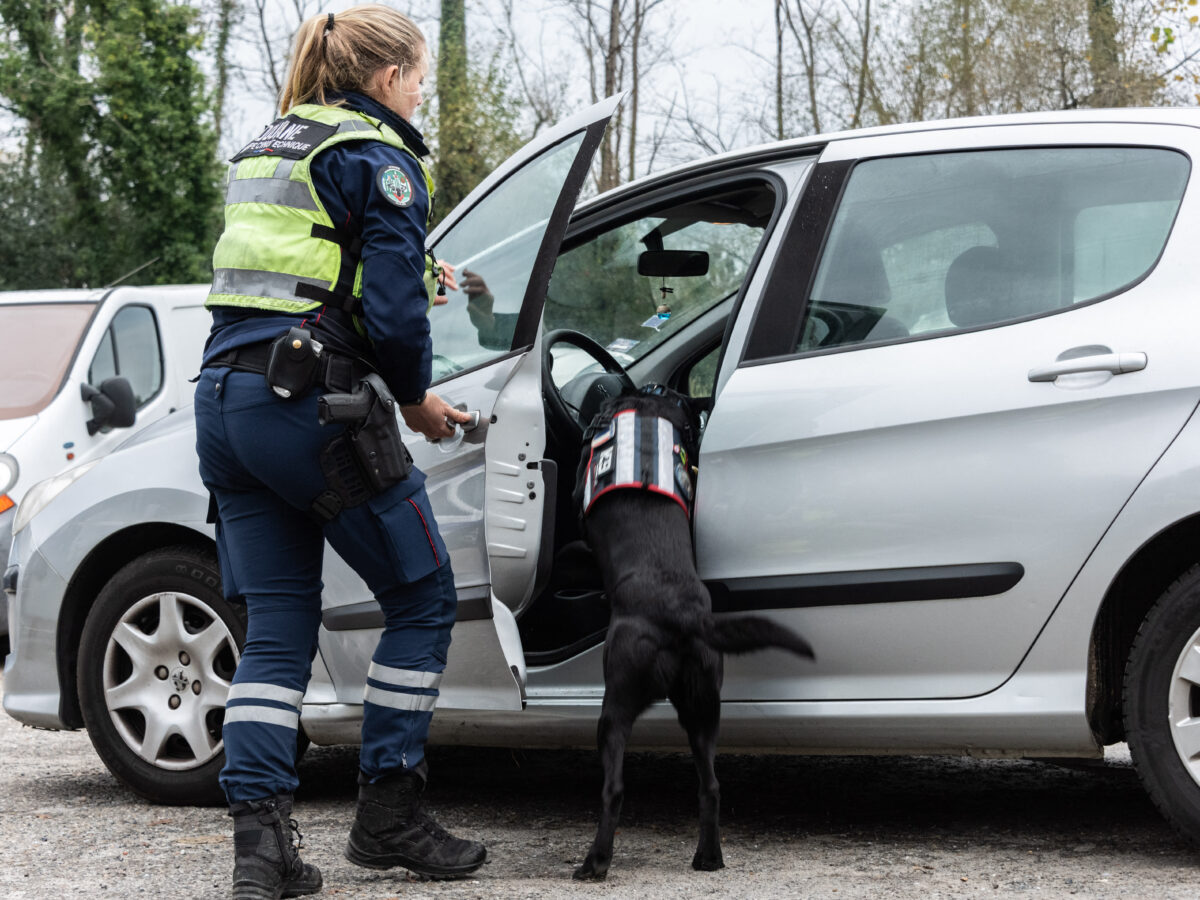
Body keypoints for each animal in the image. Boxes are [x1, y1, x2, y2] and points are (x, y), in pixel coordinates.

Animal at [571, 388, 816, 883]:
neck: (647, 404)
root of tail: (682, 614)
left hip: (616, 705)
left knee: (615, 788)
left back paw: (596, 862)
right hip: (703, 708)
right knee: (712, 786)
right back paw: (709, 856)